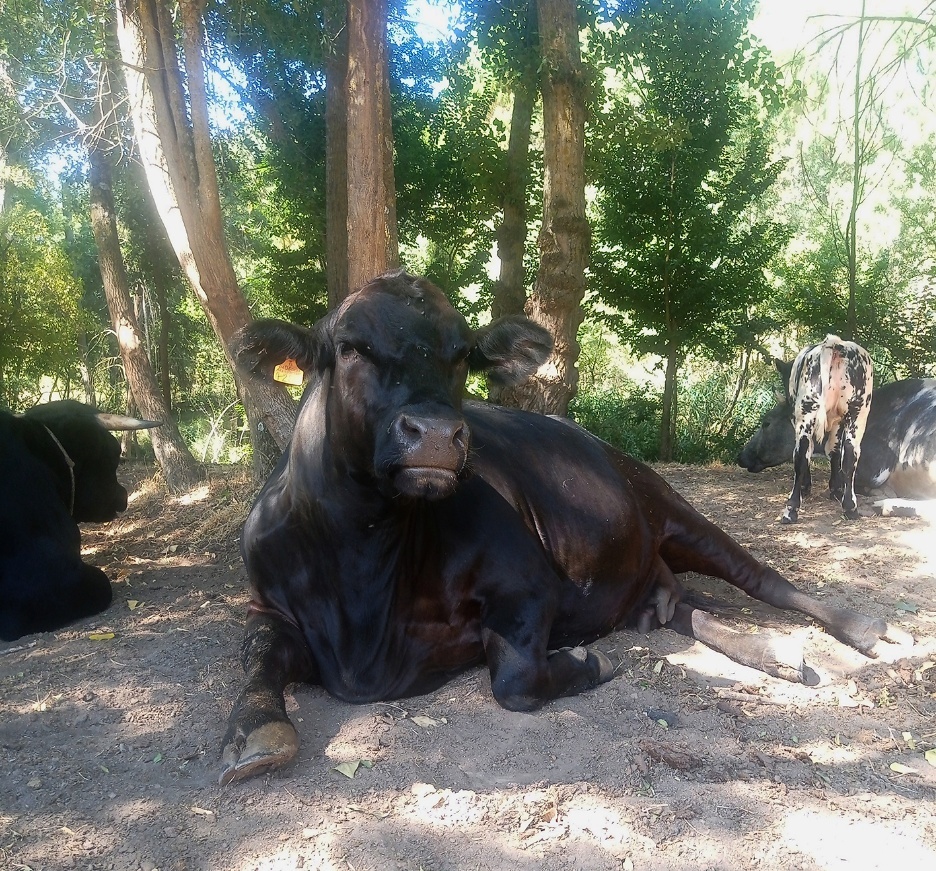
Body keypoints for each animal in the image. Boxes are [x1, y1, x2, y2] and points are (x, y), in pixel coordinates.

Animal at [768, 336, 873, 524]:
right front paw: (836, 489)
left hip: (806, 410)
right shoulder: (838, 422)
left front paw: (807, 487)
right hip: (858, 411)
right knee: (850, 453)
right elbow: (834, 451)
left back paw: (791, 510)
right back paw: (850, 507)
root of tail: (835, 344)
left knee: (801, 453)